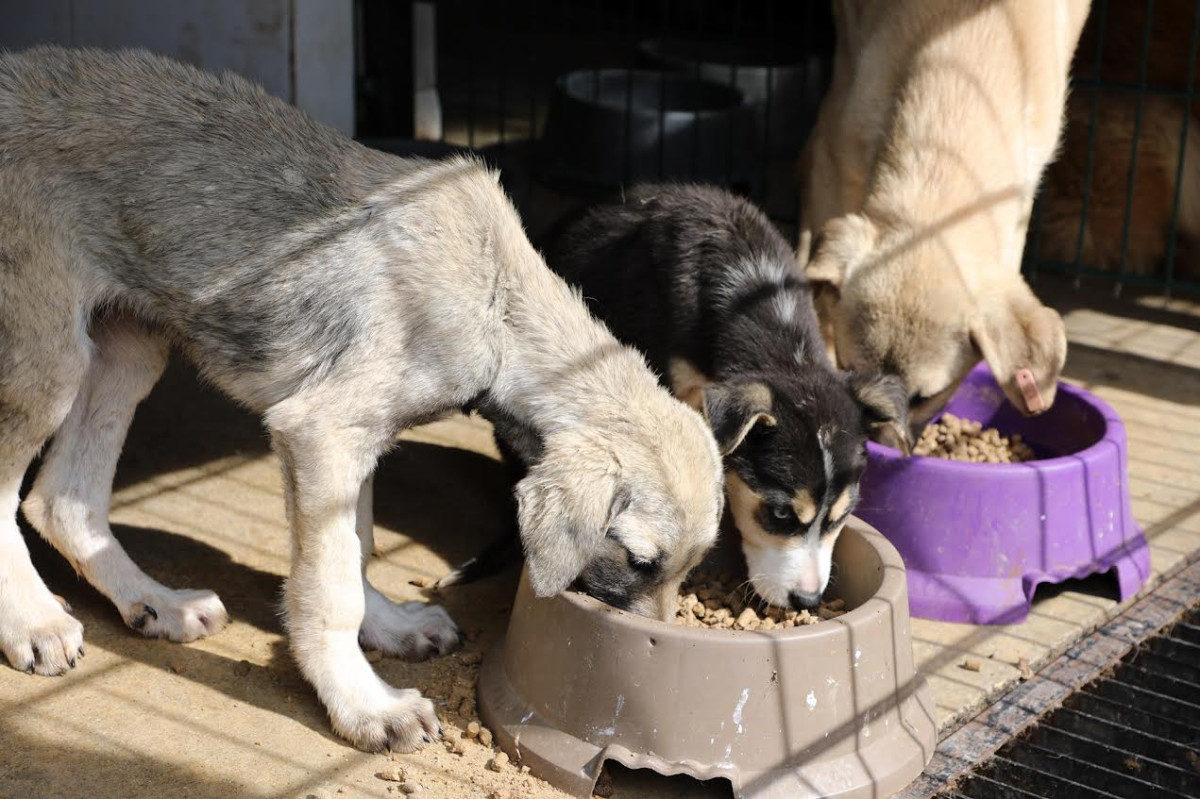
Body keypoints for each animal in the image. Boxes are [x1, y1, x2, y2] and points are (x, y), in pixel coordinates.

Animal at [0, 48, 720, 748]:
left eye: (689, 568)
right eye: (640, 559)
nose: (654, 649)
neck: (497, 302)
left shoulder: (358, 441)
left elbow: (358, 543)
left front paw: (389, 627)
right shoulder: (321, 432)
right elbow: (333, 585)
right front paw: (365, 704)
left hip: (127, 349)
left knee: (62, 499)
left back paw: (157, 602)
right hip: (47, 359)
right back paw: (34, 620)